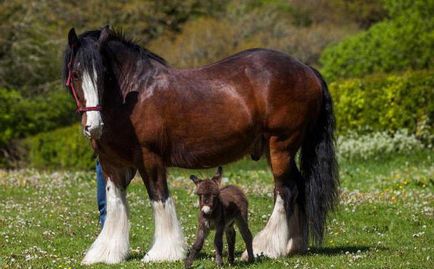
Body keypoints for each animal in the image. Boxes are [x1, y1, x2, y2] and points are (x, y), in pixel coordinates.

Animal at [62, 26, 340, 264]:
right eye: (75, 74)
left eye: (104, 75)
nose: (93, 126)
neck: (134, 94)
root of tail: (307, 70)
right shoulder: (112, 163)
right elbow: (115, 203)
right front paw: (107, 252)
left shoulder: (150, 158)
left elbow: (159, 197)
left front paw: (163, 252)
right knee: (298, 187)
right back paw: (293, 245)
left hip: (280, 145)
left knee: (286, 190)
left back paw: (268, 246)